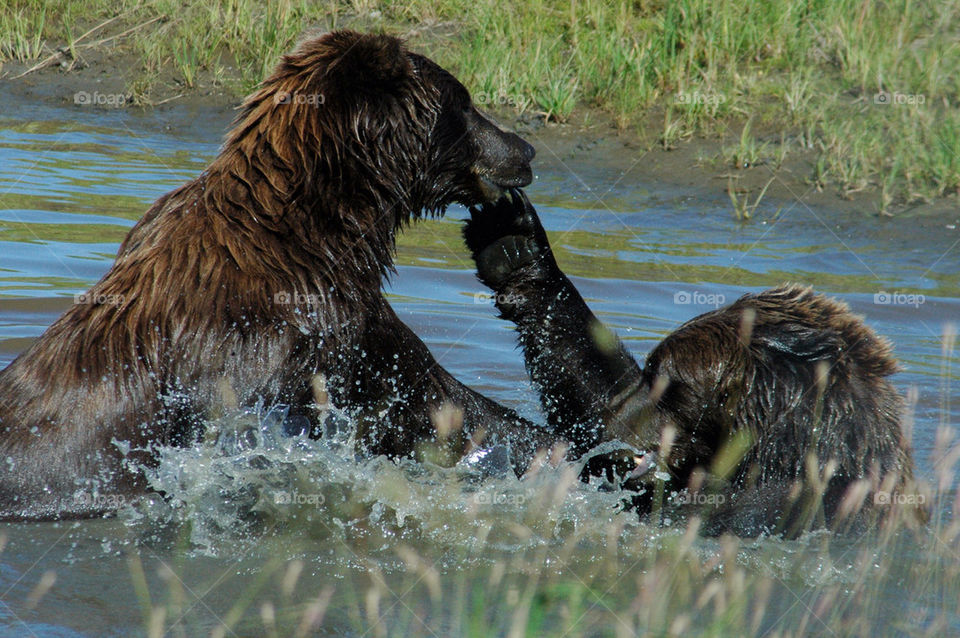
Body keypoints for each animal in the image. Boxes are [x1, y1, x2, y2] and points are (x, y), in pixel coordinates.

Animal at [0, 30, 564, 524]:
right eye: (463, 103)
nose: (525, 149)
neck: (327, 231)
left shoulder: (350, 323)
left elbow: (435, 401)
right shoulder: (286, 337)